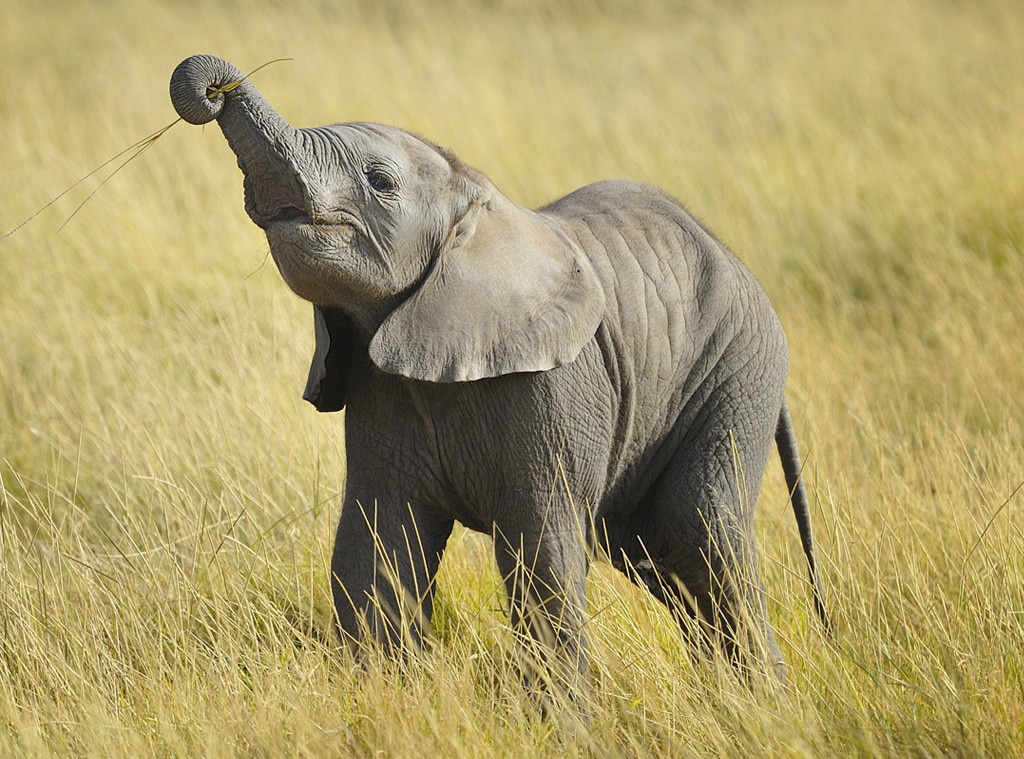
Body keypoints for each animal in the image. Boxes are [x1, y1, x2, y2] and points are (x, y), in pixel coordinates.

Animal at [169, 55, 828, 702]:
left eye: (380, 182)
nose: (212, 90)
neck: (478, 203)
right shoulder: (379, 391)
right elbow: (374, 547)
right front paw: (383, 701)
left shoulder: (553, 390)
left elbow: (541, 553)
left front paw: (563, 724)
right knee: (657, 553)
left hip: (736, 370)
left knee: (699, 531)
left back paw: (768, 709)